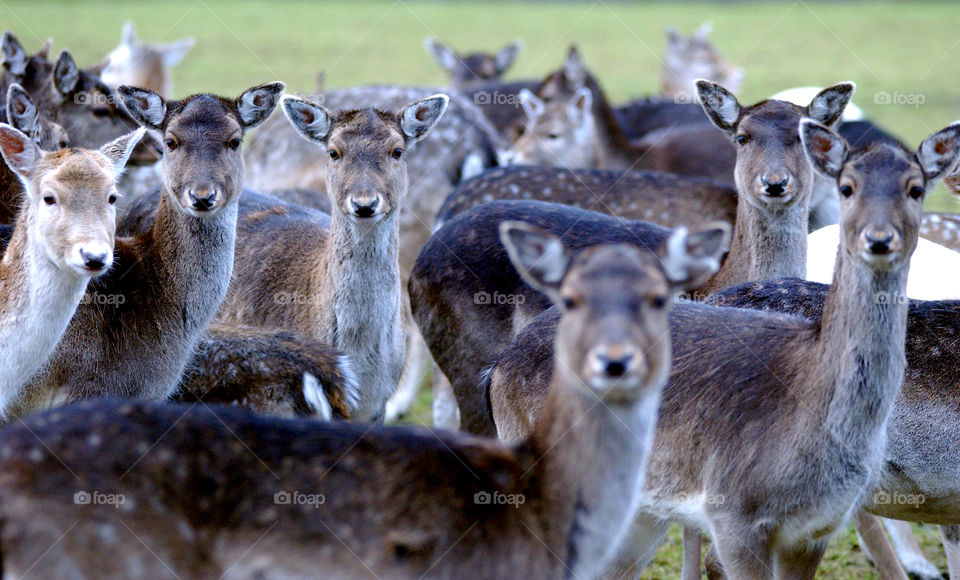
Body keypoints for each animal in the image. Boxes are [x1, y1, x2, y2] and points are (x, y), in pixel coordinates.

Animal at [412, 81, 856, 436]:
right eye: (742, 136)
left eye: (801, 136)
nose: (775, 183)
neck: (720, 278)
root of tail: (420, 259)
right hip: (466, 355)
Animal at [484, 119, 960, 580]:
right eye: (847, 186)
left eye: (915, 188)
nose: (879, 239)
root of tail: (496, 369)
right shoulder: (739, 515)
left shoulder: (815, 528)